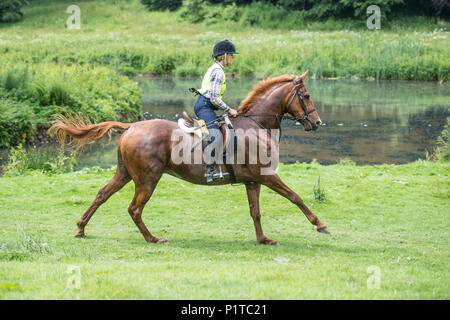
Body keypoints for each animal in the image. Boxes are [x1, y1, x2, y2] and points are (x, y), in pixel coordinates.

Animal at [49, 70, 330, 245]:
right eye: (306, 96)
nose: (317, 122)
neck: (257, 124)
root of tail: (131, 126)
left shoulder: (253, 181)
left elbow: (256, 212)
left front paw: (263, 240)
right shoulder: (267, 176)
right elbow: (296, 197)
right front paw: (320, 224)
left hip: (125, 173)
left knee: (102, 195)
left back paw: (81, 228)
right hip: (147, 179)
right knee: (135, 208)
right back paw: (152, 239)